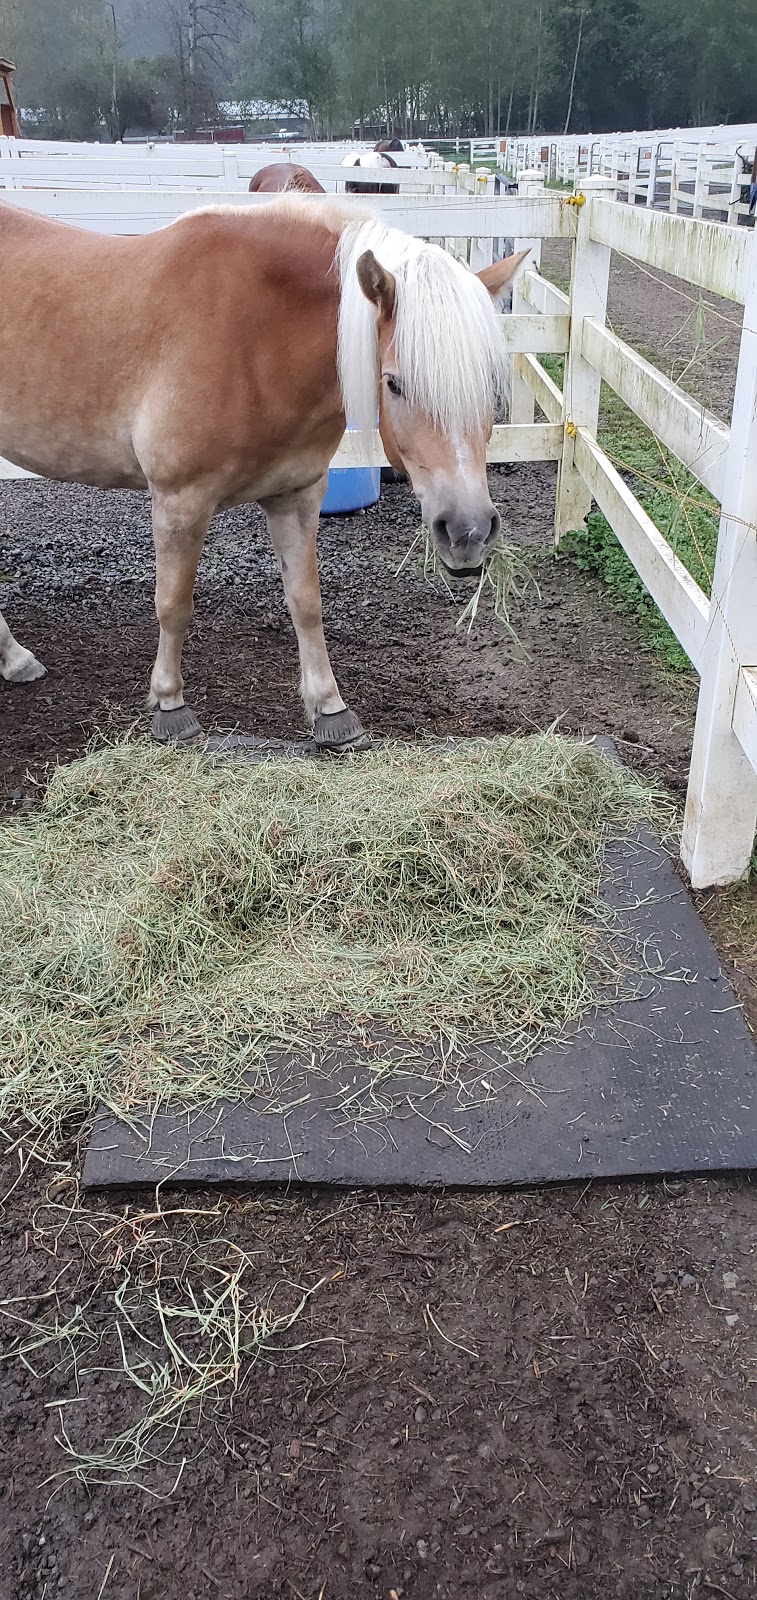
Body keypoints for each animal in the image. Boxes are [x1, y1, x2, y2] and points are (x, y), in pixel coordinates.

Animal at [0, 195, 524, 748]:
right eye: (394, 383)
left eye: (490, 381)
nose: (467, 532)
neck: (258, 333)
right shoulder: (180, 500)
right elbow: (173, 604)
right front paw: (170, 705)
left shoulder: (297, 496)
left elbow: (306, 602)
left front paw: (329, 708)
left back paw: (14, 659)